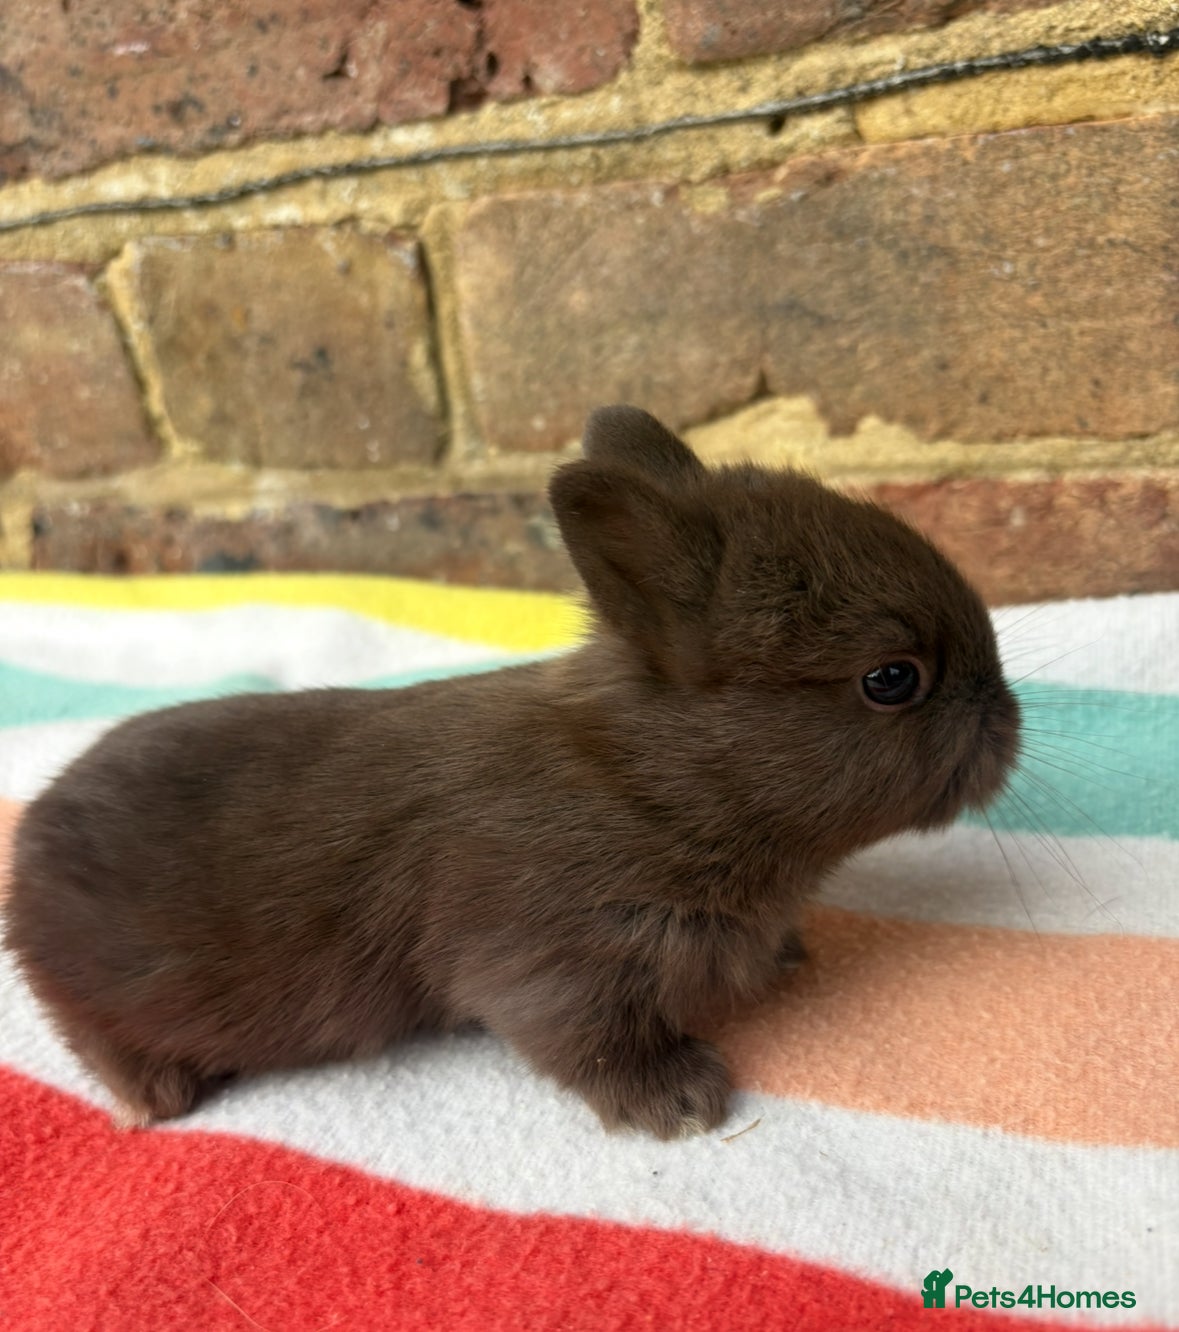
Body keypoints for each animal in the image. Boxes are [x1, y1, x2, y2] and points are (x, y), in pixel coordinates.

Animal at [2, 405, 1020, 1139]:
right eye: (891, 679)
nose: (1010, 722)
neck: (650, 783)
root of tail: (30, 847)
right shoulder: (552, 963)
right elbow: (588, 1044)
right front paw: (682, 1103)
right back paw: (156, 1095)